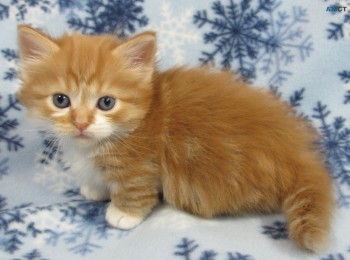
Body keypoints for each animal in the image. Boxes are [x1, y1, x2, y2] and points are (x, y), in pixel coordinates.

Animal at [17, 24, 334, 252]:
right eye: (61, 100)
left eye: (106, 103)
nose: (81, 123)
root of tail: (295, 152)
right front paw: (95, 188)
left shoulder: (141, 165)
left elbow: (135, 189)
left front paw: (123, 213)